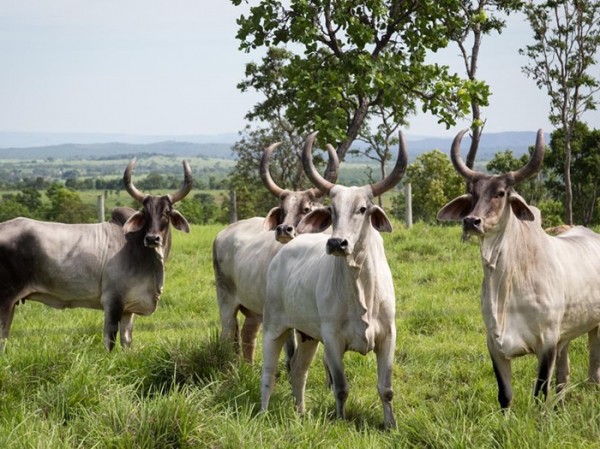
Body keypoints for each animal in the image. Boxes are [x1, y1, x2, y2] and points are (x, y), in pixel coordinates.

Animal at [0, 159, 192, 352]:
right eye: (145, 213)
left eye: (167, 212)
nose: (152, 238)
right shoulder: (113, 301)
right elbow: (110, 340)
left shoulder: (129, 309)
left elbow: (126, 340)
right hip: (5, 299)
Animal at [258, 131, 406, 428]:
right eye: (332, 210)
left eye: (363, 209)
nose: (337, 243)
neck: (362, 287)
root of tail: (284, 250)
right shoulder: (332, 340)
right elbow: (341, 387)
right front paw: (340, 419)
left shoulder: (388, 336)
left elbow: (386, 389)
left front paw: (391, 425)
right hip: (274, 327)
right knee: (269, 373)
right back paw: (264, 413)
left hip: (307, 337)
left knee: (298, 373)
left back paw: (301, 414)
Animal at [438, 129, 600, 406]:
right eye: (473, 195)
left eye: (501, 193)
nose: (471, 221)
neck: (507, 285)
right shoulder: (495, 344)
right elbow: (505, 395)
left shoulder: (547, 342)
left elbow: (539, 393)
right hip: (566, 336)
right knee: (564, 376)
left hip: (593, 329)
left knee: (593, 373)